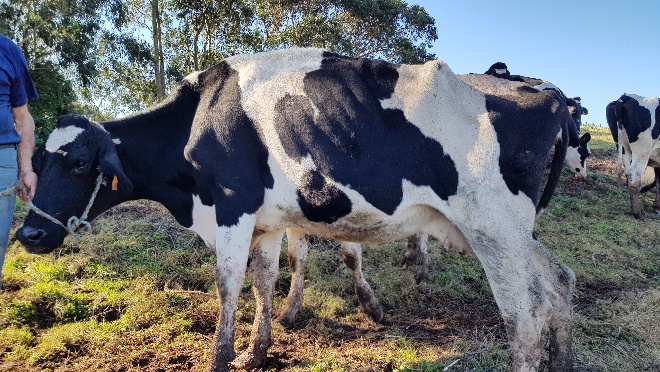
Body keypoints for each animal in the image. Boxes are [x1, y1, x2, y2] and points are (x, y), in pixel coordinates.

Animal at [15, 48, 576, 370]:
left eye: (81, 163)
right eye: (38, 162)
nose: (28, 236)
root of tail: (544, 94)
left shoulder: (233, 208)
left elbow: (228, 286)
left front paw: (220, 358)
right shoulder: (264, 222)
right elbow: (264, 281)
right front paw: (256, 351)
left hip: (493, 229)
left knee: (523, 318)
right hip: (512, 233)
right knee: (559, 281)